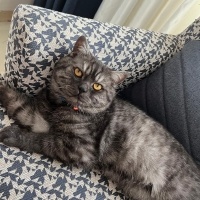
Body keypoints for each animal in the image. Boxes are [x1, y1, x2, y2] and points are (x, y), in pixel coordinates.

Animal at [0, 36, 200, 200]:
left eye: (97, 86)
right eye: (78, 72)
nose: (82, 89)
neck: (57, 107)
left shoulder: (78, 148)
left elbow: (41, 140)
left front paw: (12, 135)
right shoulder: (38, 119)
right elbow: (18, 104)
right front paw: (3, 89)